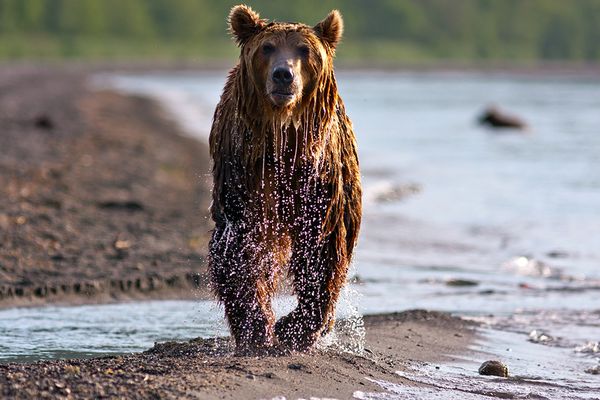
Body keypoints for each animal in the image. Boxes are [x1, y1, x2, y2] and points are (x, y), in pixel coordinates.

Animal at [209, 4, 360, 352]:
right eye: (267, 47)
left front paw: (295, 328)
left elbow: (321, 247)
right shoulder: (246, 175)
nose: (283, 75)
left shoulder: (319, 178)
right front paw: (256, 327)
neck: (282, 136)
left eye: (304, 50)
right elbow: (242, 249)